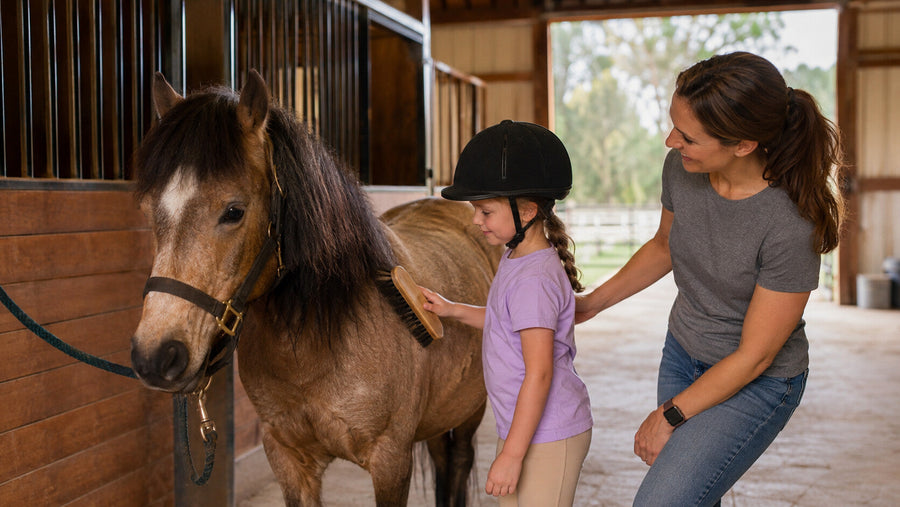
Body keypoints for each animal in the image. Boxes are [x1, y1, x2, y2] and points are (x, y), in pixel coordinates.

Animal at [129, 70, 502, 506]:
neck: (316, 345)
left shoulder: (391, 461)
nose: (156, 356)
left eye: (234, 211)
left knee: (457, 465)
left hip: (470, 411)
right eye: (150, 209)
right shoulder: (288, 458)